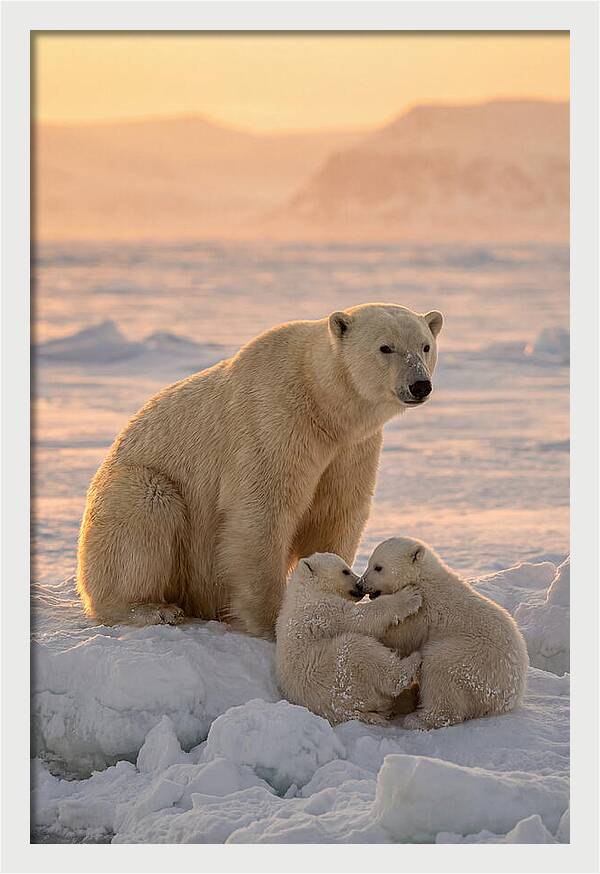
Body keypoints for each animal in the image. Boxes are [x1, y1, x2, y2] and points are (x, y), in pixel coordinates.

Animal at [76, 303, 443, 638]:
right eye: (385, 347)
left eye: (424, 345)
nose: (419, 385)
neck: (321, 403)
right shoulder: (274, 421)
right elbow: (262, 511)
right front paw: (272, 621)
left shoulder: (351, 449)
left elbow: (336, 511)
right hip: (134, 488)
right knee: (146, 508)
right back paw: (152, 609)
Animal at [275, 552, 423, 725]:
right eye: (345, 571)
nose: (359, 585)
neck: (305, 589)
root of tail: (345, 712)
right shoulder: (322, 609)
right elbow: (360, 618)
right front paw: (410, 596)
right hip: (337, 674)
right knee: (360, 651)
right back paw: (413, 660)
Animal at [358, 537, 529, 730]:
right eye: (370, 563)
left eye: (378, 567)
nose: (360, 584)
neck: (422, 577)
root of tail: (508, 699)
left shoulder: (422, 613)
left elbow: (400, 637)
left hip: (473, 661)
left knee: (438, 667)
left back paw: (418, 719)